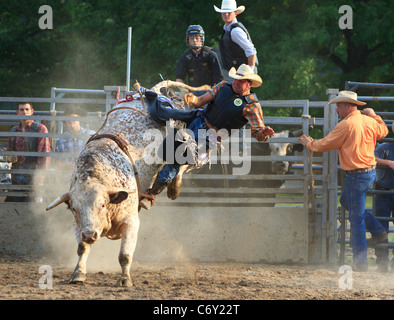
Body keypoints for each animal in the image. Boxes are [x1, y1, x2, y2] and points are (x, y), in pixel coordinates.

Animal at [46, 81, 211, 286]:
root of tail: (154, 92)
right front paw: (78, 273)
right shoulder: (79, 225)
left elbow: (124, 255)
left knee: (182, 160)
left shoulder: (132, 221)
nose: (90, 235)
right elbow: (82, 249)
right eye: (74, 208)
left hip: (179, 136)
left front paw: (125, 279)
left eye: (102, 204)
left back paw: (174, 188)